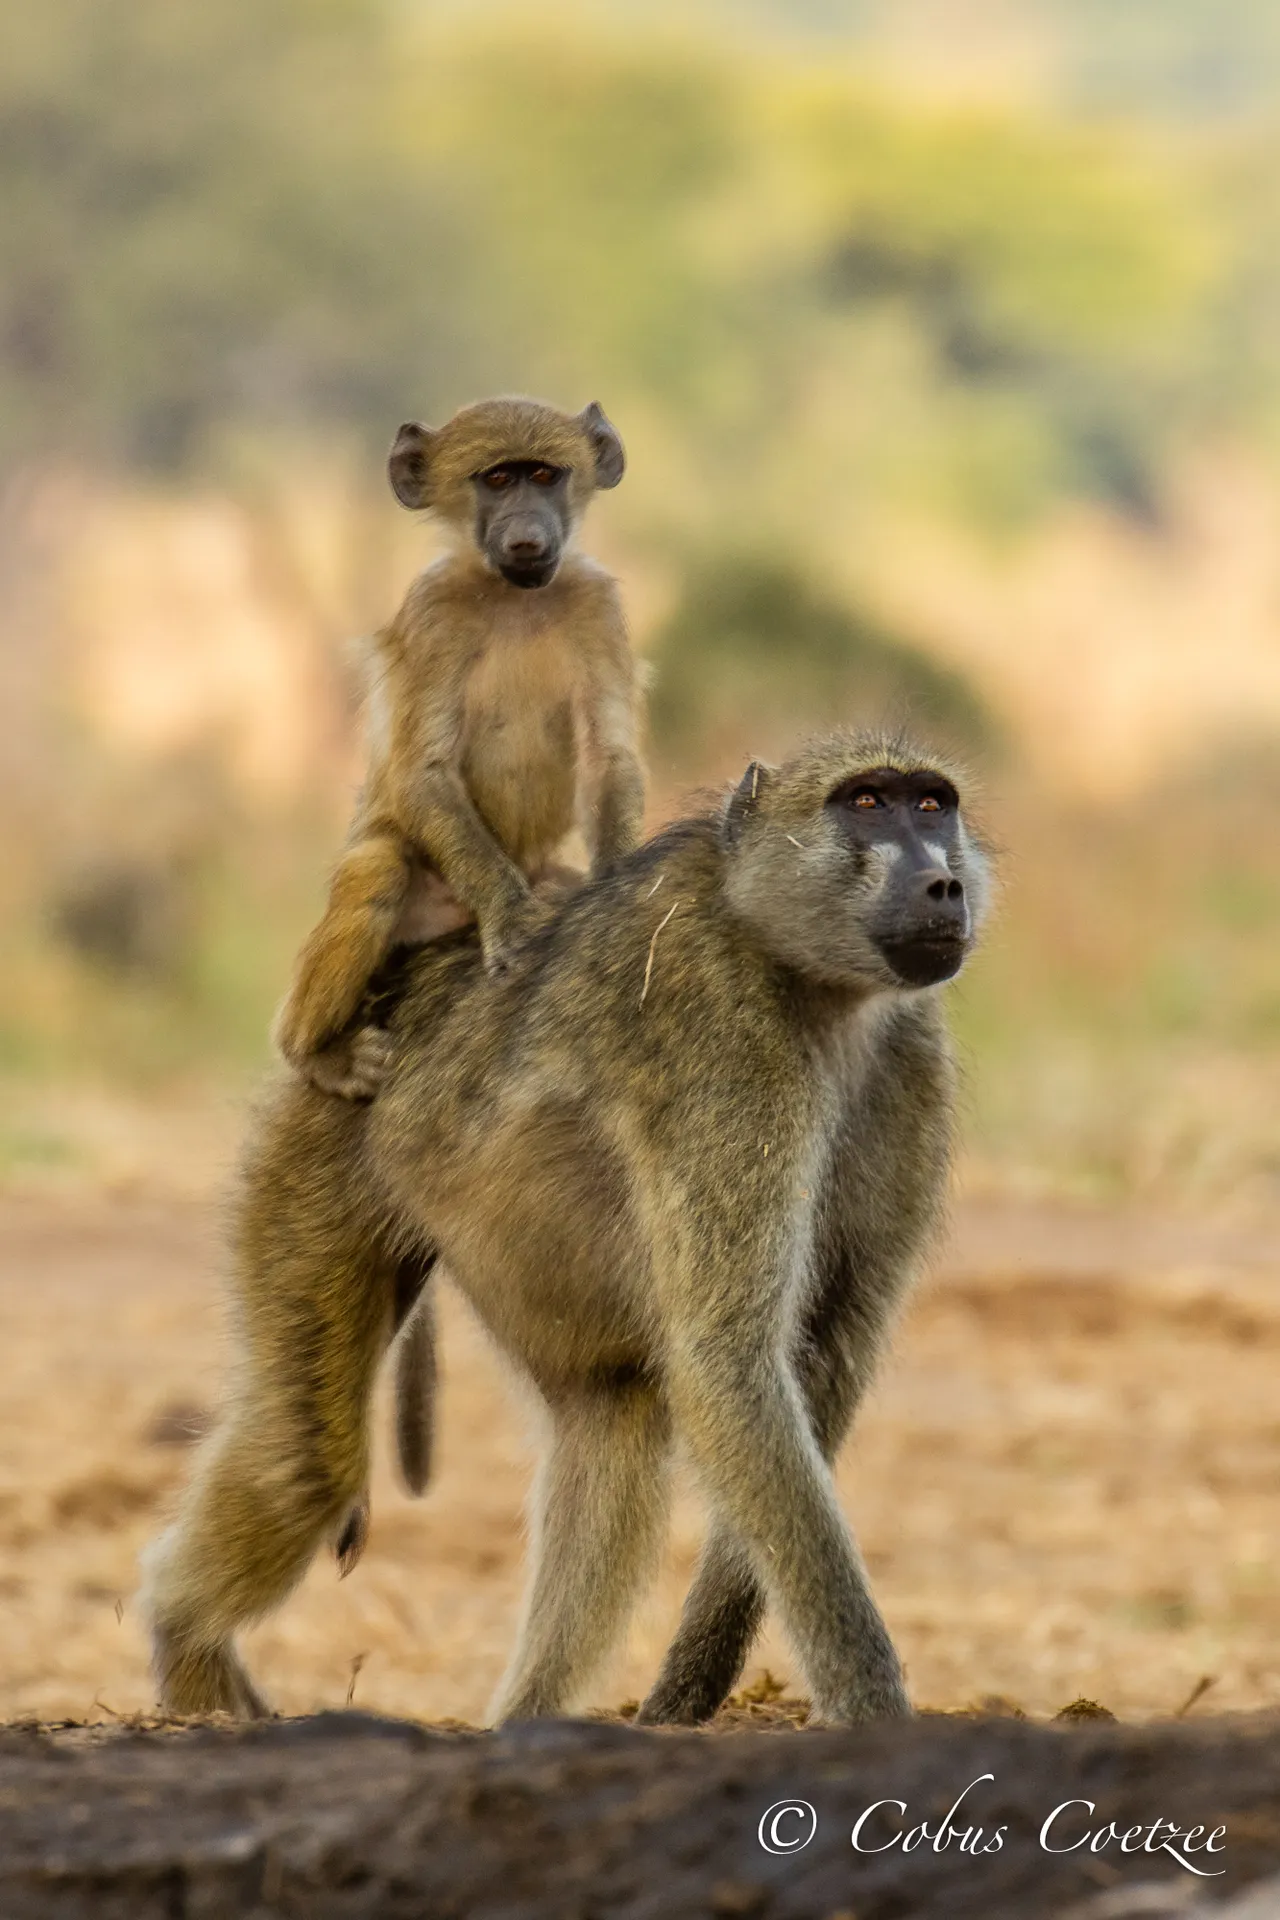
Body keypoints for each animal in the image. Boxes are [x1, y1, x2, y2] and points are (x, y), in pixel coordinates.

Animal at [140, 729, 990, 1726]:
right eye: (865, 804)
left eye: (932, 805)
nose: (944, 884)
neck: (802, 973)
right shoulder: (723, 1042)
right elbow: (729, 1362)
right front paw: (871, 1711)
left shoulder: (909, 1059)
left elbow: (823, 1361)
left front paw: (683, 1697)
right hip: (320, 1141)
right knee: (306, 1458)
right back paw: (187, 1650)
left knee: (611, 1417)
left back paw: (523, 1719)